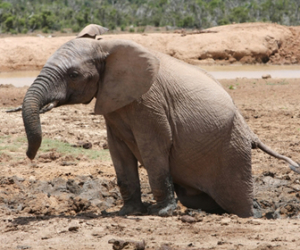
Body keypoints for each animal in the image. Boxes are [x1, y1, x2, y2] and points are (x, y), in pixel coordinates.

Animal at [21, 24, 300, 218]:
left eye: (73, 74)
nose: (29, 155)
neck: (108, 46)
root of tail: (251, 133)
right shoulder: (114, 102)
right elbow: (118, 153)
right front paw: (128, 212)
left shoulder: (149, 103)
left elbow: (153, 148)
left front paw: (162, 213)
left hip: (232, 150)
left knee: (237, 199)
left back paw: (254, 215)